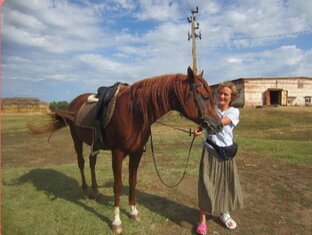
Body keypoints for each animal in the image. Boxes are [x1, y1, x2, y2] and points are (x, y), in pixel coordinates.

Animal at [27, 67, 222, 234]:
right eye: (204, 96)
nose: (219, 125)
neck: (134, 112)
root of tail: (73, 104)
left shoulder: (136, 153)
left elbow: (132, 181)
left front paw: (133, 211)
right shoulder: (118, 153)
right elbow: (118, 185)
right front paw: (116, 221)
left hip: (93, 143)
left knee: (91, 162)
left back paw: (95, 191)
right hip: (77, 139)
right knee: (81, 162)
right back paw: (85, 189)